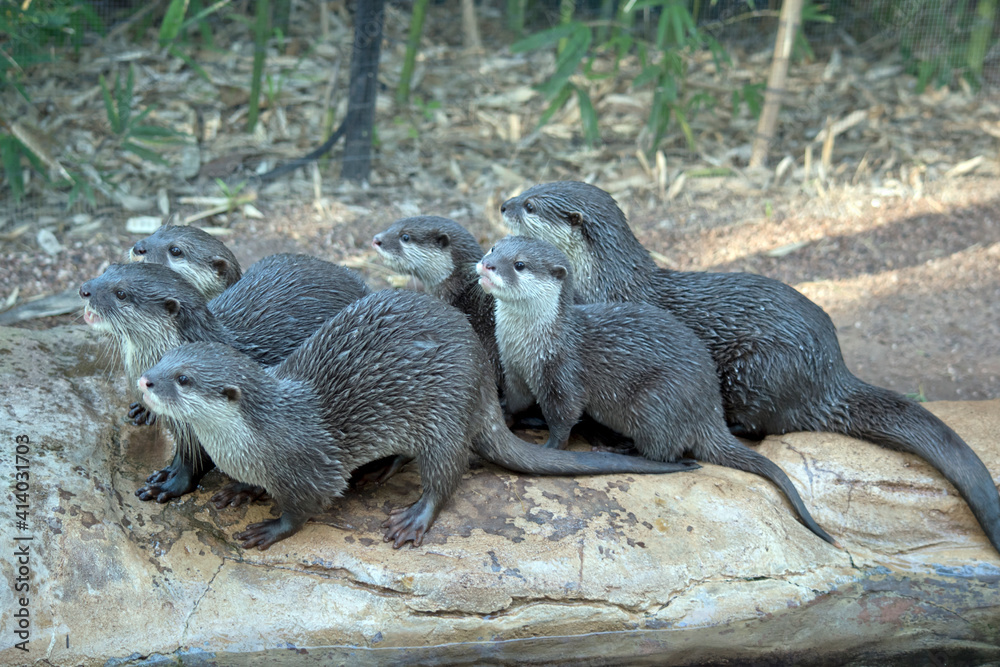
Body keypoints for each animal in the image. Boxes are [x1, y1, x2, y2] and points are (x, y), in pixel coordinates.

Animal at [79, 256, 371, 503]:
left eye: (121, 293)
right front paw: (166, 471)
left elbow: (193, 463)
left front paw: (168, 486)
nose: (84, 289)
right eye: (107, 270)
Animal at [137, 290, 700, 549]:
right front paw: (239, 490)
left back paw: (414, 518)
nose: (144, 381)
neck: (257, 437)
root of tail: (482, 373)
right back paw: (383, 470)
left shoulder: (311, 467)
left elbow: (306, 506)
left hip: (443, 415)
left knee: (448, 472)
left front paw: (271, 527)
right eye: (164, 360)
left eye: (182, 378)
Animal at [478, 236, 835, 545]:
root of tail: (710, 411)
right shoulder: (514, 369)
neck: (534, 345)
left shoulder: (562, 374)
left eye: (520, 264)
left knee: (665, 451)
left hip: (654, 401)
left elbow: (564, 419)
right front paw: (503, 416)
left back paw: (622, 451)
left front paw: (550, 449)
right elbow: (516, 401)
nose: (487, 264)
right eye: (494, 247)